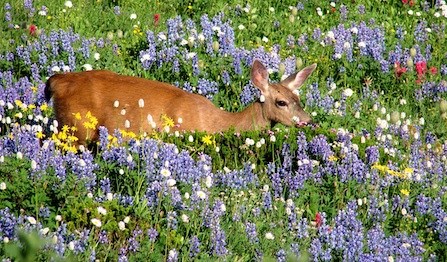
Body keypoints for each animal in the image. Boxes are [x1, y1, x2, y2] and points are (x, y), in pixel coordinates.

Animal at [45, 59, 316, 145]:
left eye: (298, 98)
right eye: (281, 102)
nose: (308, 121)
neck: (219, 121)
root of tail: (57, 81)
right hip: (75, 128)